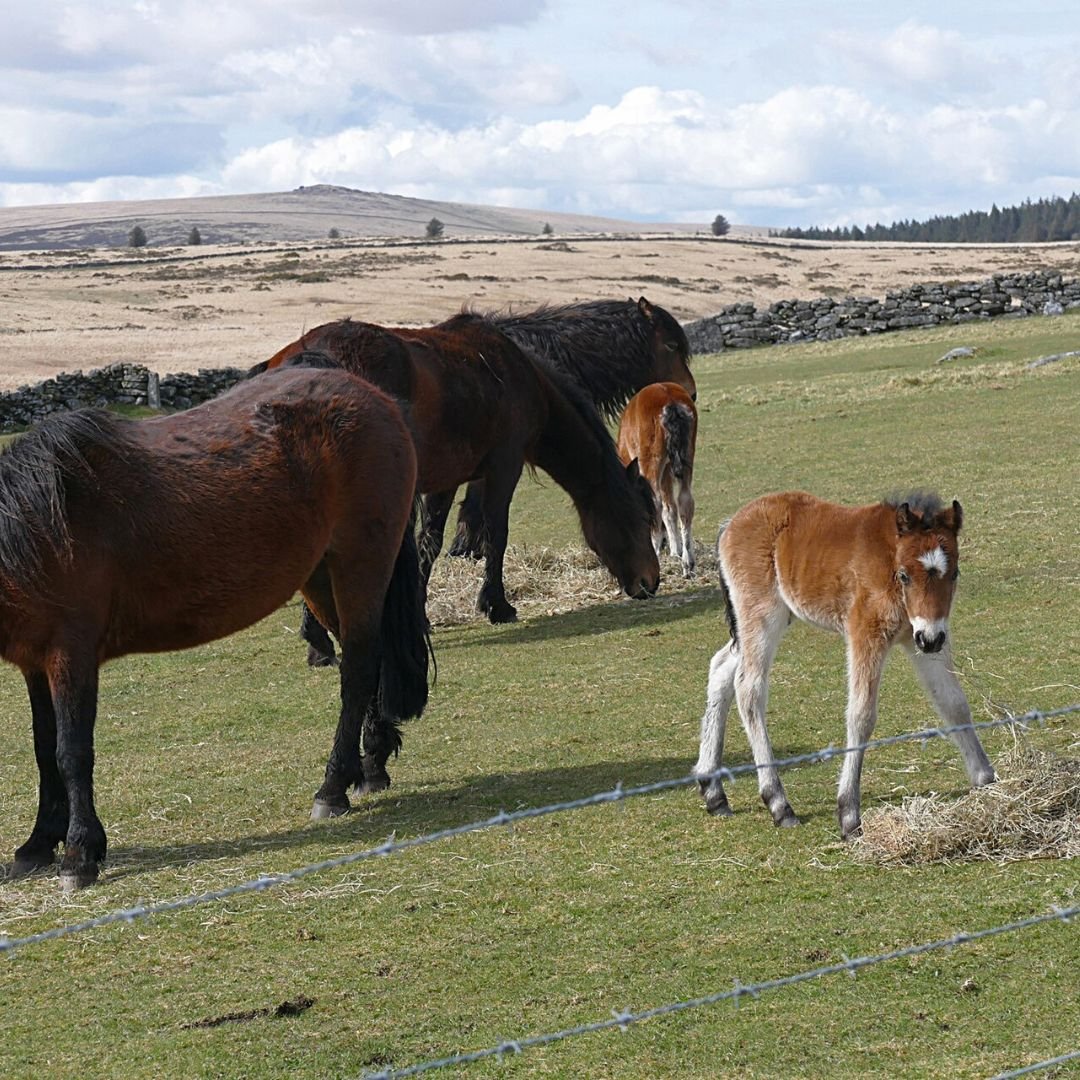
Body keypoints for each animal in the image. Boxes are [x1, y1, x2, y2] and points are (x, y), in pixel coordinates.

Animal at [1, 362, 431, 889]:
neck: (35, 528)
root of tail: (380, 401)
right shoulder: (35, 662)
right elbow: (44, 749)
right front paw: (39, 843)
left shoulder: (72, 655)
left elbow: (71, 751)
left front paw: (80, 853)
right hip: (321, 578)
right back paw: (369, 769)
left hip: (359, 568)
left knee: (358, 672)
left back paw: (332, 789)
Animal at [254, 313, 660, 662]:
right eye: (642, 519)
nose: (651, 582)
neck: (516, 376)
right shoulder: (503, 468)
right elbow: (496, 534)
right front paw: (497, 606)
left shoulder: (445, 481)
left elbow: (430, 544)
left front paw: (421, 617)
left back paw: (320, 642)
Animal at [616, 382, 698, 578]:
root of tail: (670, 400)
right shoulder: (667, 470)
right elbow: (671, 509)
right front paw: (675, 551)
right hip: (687, 457)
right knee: (685, 501)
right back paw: (687, 563)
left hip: (651, 462)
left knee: (656, 502)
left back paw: (656, 552)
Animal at [693, 491, 995, 839]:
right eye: (905, 575)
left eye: (955, 573)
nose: (931, 639)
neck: (888, 558)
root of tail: (731, 523)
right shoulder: (866, 632)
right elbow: (861, 715)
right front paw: (849, 814)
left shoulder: (919, 637)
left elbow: (953, 702)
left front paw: (987, 781)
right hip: (761, 613)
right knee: (748, 688)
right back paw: (779, 803)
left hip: (772, 617)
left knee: (720, 668)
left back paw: (713, 790)